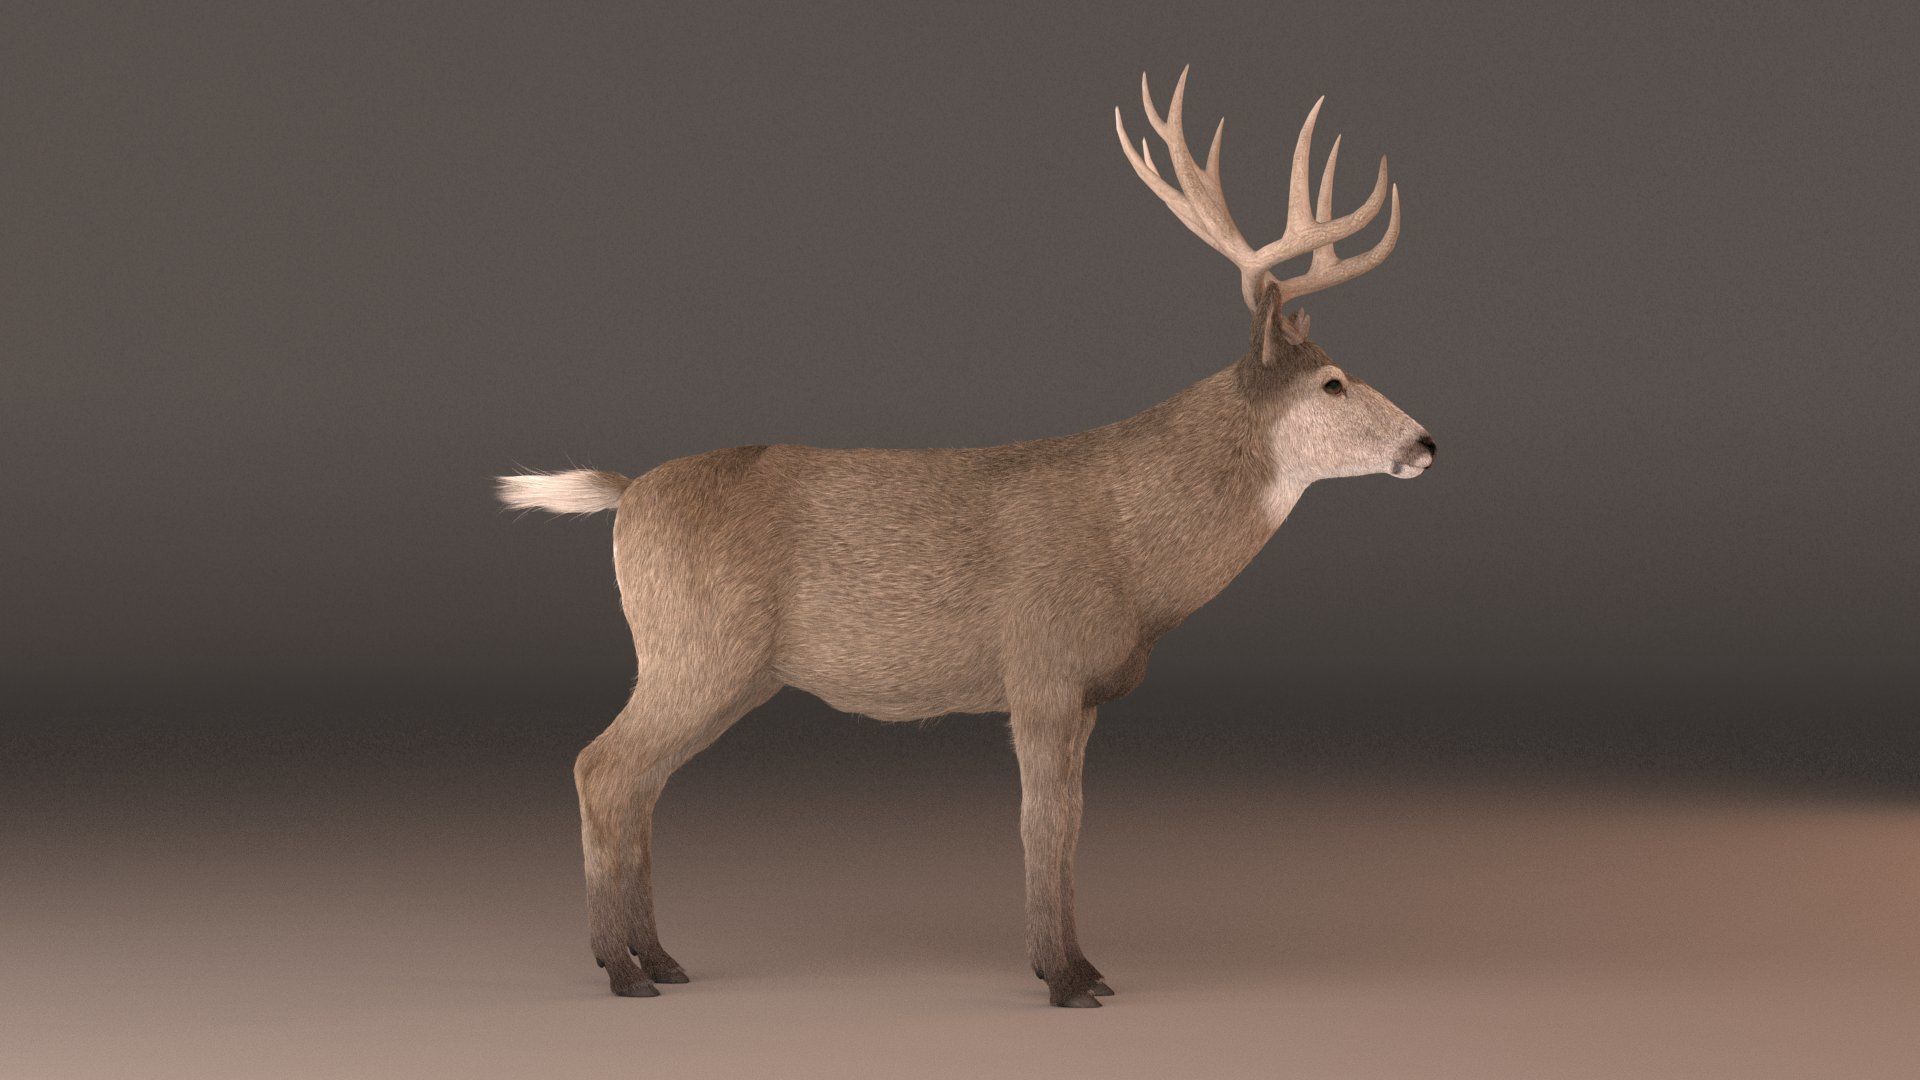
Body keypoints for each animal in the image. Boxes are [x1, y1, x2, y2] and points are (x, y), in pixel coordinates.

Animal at [498, 68, 1433, 1008]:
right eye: (1333, 382)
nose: (1426, 443)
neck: (1137, 555)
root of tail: (627, 496)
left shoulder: (1083, 693)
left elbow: (1068, 824)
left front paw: (1076, 966)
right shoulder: (1044, 668)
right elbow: (1046, 825)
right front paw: (1068, 978)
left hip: (720, 668)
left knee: (639, 784)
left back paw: (659, 957)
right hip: (695, 646)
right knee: (602, 768)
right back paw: (622, 968)